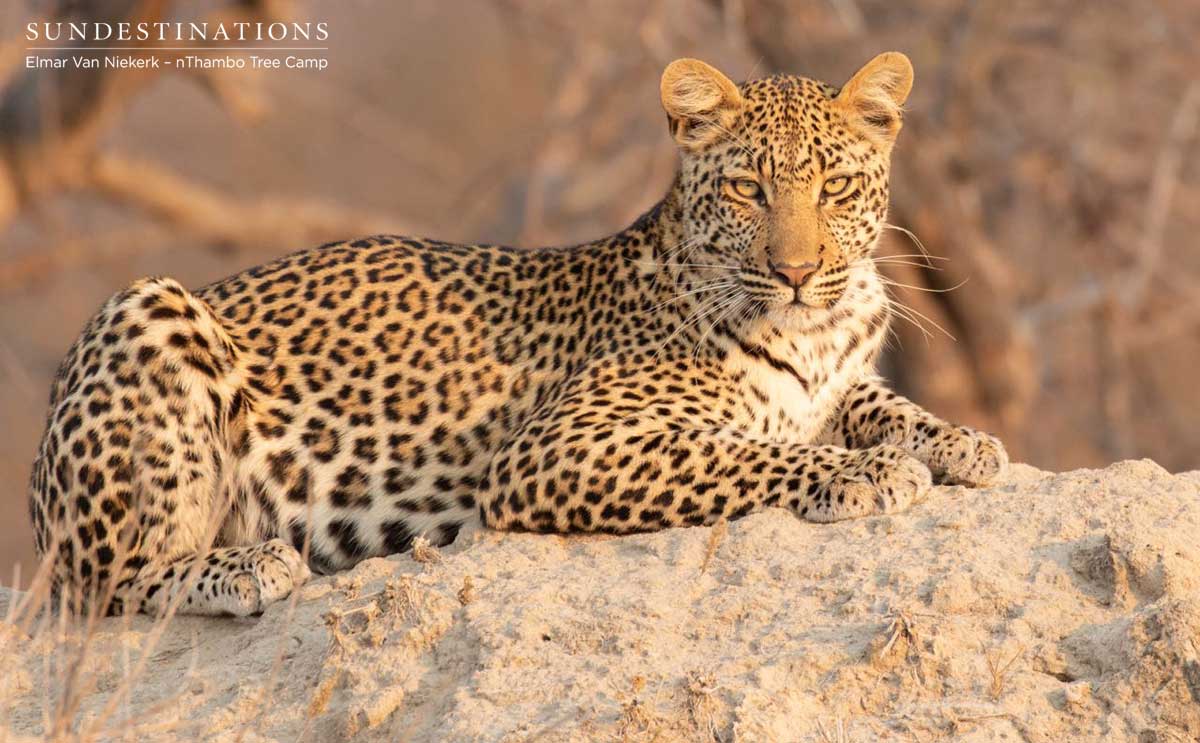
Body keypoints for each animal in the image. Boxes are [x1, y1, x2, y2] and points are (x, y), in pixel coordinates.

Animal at [27, 52, 1008, 617]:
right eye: (747, 189)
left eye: (835, 188)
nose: (799, 270)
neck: (814, 333)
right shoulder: (562, 447)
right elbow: (747, 452)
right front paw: (865, 472)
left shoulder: (843, 375)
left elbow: (882, 405)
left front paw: (963, 441)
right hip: (146, 309)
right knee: (100, 583)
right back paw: (246, 567)